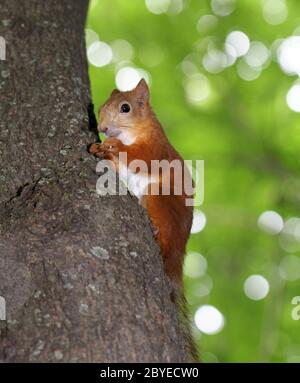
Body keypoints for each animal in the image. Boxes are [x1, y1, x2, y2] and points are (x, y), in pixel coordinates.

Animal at [88, 79, 193, 288]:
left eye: (125, 108)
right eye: (101, 107)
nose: (102, 128)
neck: (130, 134)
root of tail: (179, 251)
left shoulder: (157, 147)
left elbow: (142, 158)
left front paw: (115, 145)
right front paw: (97, 148)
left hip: (160, 196)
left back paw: (155, 230)